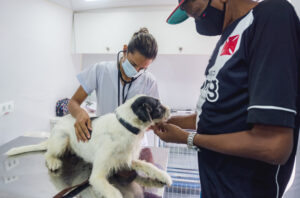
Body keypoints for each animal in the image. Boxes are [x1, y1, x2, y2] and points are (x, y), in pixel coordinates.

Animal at [5, 94, 171, 198]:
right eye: (158, 107)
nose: (170, 110)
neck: (126, 127)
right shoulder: (97, 176)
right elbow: (113, 192)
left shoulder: (127, 160)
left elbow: (148, 165)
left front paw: (163, 175)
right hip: (61, 139)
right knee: (48, 153)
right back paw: (53, 161)